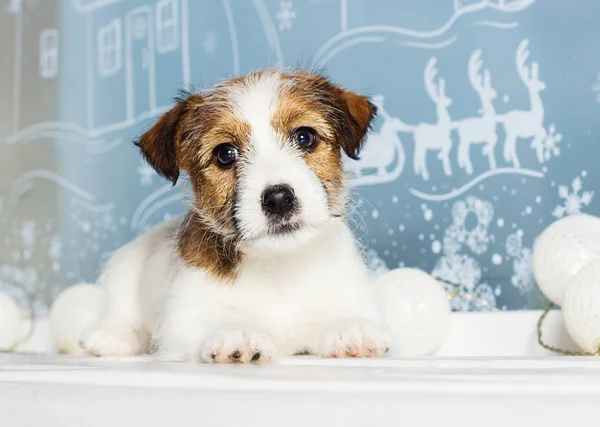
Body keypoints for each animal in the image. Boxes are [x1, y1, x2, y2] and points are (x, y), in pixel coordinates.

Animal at [81, 70, 390, 364]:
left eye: (305, 137)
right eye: (225, 154)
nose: (279, 199)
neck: (278, 264)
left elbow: (342, 313)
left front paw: (350, 328)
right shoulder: (183, 318)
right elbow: (209, 319)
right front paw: (235, 332)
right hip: (124, 269)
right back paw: (111, 335)